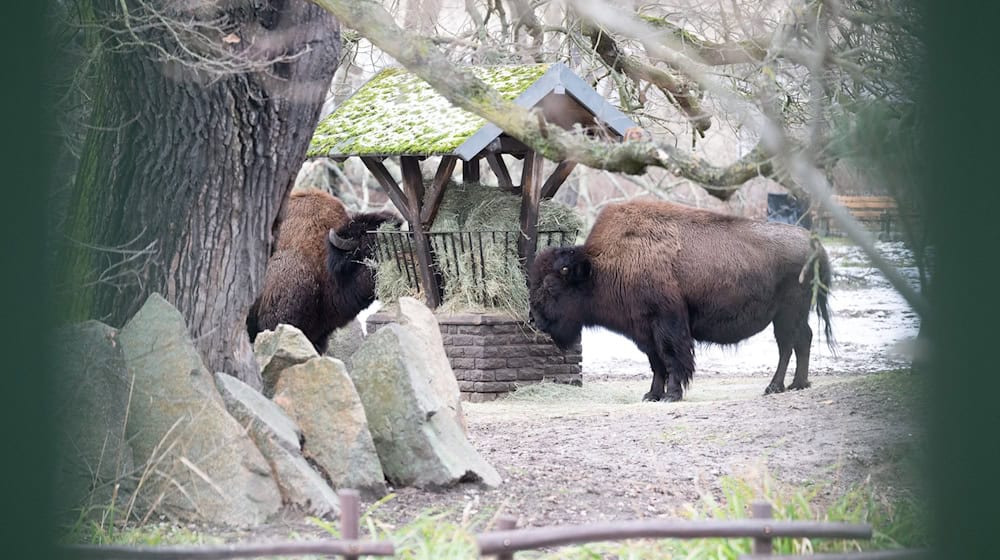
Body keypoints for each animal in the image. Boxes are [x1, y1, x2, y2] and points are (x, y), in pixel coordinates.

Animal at [528, 200, 832, 402]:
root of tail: (813, 242)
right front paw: (651, 394)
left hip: (787, 314)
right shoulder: (644, 331)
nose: (534, 319)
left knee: (787, 345)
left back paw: (774, 387)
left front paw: (671, 395)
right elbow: (656, 363)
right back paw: (798, 384)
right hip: (794, 314)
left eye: (551, 286)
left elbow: (673, 358)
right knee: (802, 340)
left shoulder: (667, 324)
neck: (601, 266)